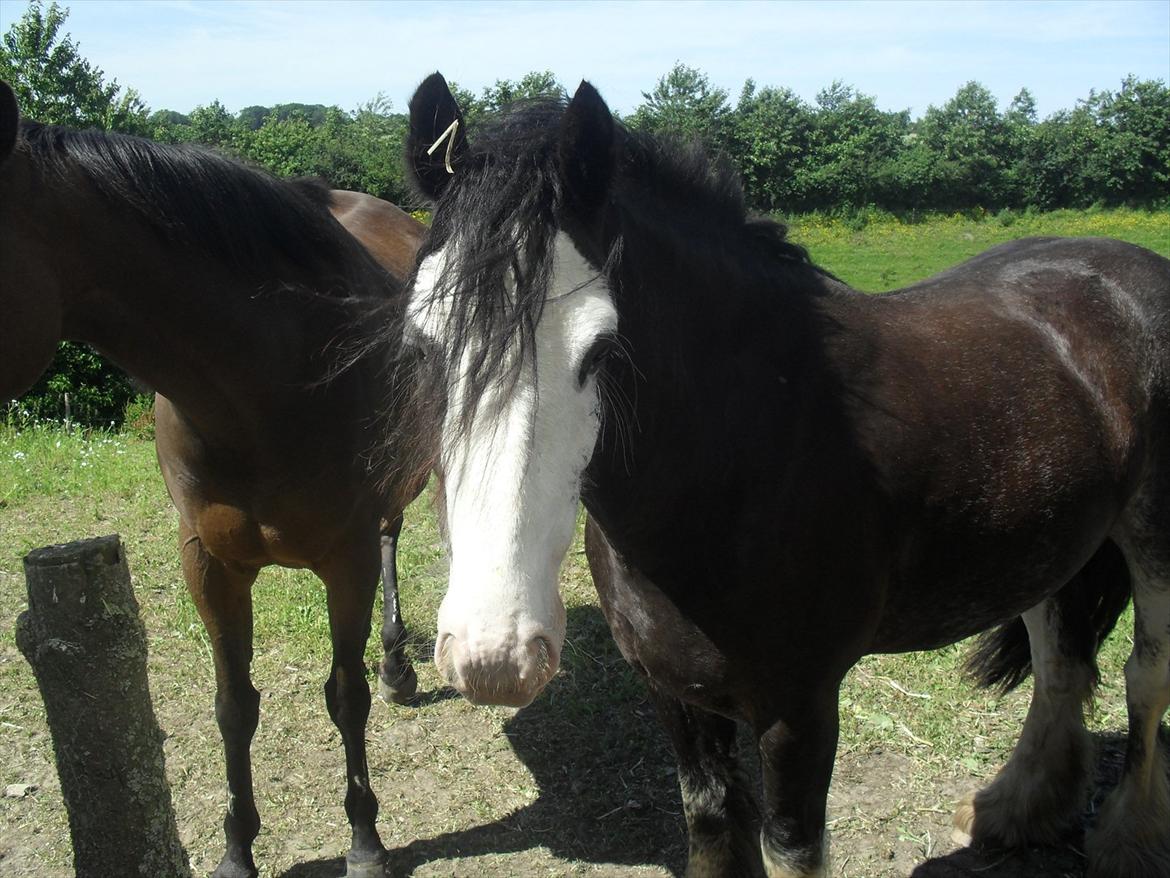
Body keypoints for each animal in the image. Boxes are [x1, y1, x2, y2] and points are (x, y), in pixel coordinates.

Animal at [0, 84, 430, 878]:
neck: (263, 381)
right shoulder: (208, 560)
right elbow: (234, 705)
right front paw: (236, 849)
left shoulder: (345, 558)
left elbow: (344, 695)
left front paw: (365, 839)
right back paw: (396, 664)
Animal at [395, 72, 1170, 875]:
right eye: (419, 346)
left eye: (602, 351)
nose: (495, 658)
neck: (744, 460)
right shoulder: (675, 696)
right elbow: (711, 826)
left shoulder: (800, 710)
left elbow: (793, 848)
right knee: (1060, 663)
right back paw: (1016, 809)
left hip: (1153, 541)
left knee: (1146, 678)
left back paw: (1128, 840)